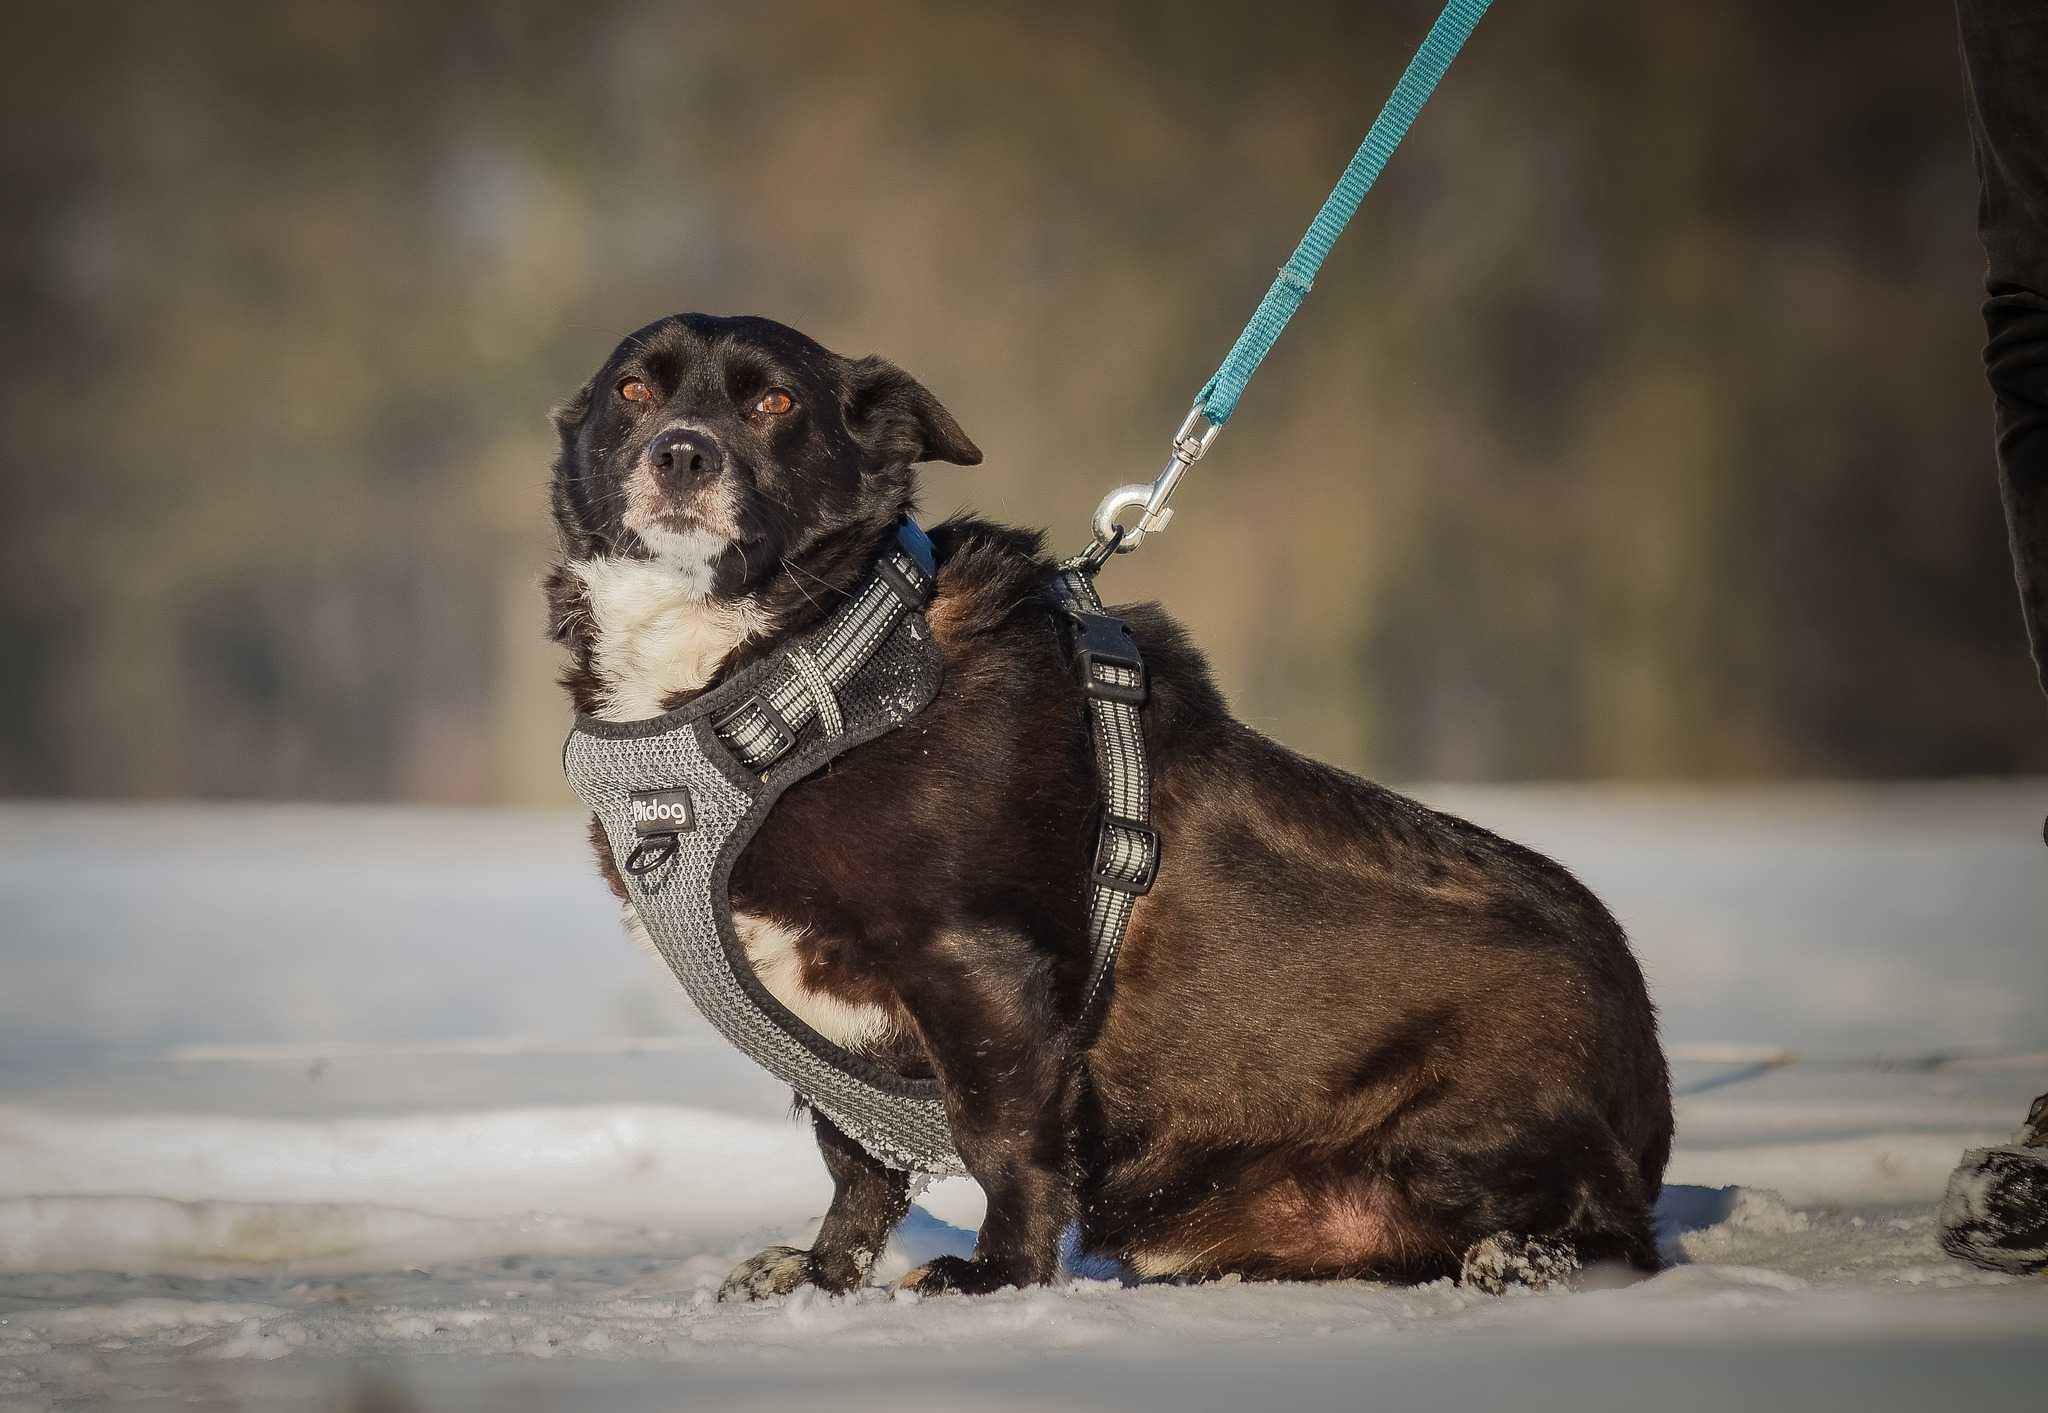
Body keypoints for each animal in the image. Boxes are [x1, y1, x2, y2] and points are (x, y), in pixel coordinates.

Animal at [548, 313, 1679, 1294]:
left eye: (775, 400)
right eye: (633, 390)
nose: (682, 454)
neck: (800, 664)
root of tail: (1651, 1098)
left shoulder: (976, 969)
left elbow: (1002, 1140)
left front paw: (996, 1279)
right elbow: (856, 1163)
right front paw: (821, 1277)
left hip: (1493, 1128)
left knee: (1608, 1232)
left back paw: (1517, 1257)